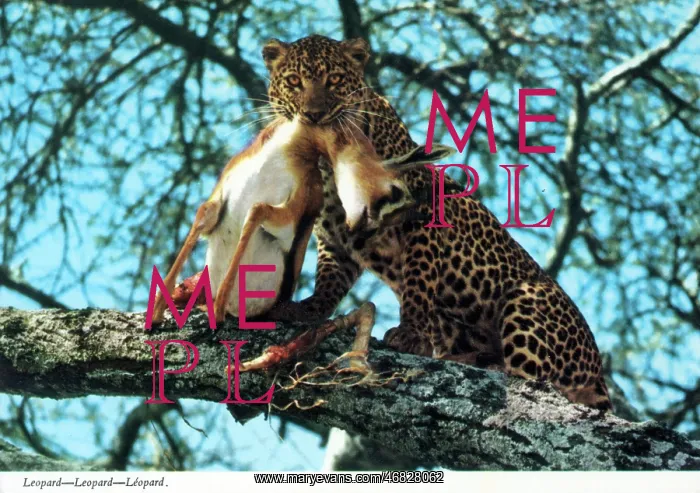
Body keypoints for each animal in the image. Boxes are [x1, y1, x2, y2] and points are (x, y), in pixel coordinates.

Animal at [262, 34, 612, 411]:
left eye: (335, 80)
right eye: (294, 82)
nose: (313, 115)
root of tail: (599, 373)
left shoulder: (423, 214)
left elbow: (419, 279)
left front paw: (411, 334)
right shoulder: (337, 233)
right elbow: (329, 279)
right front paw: (309, 310)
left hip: (527, 300)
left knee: (534, 379)